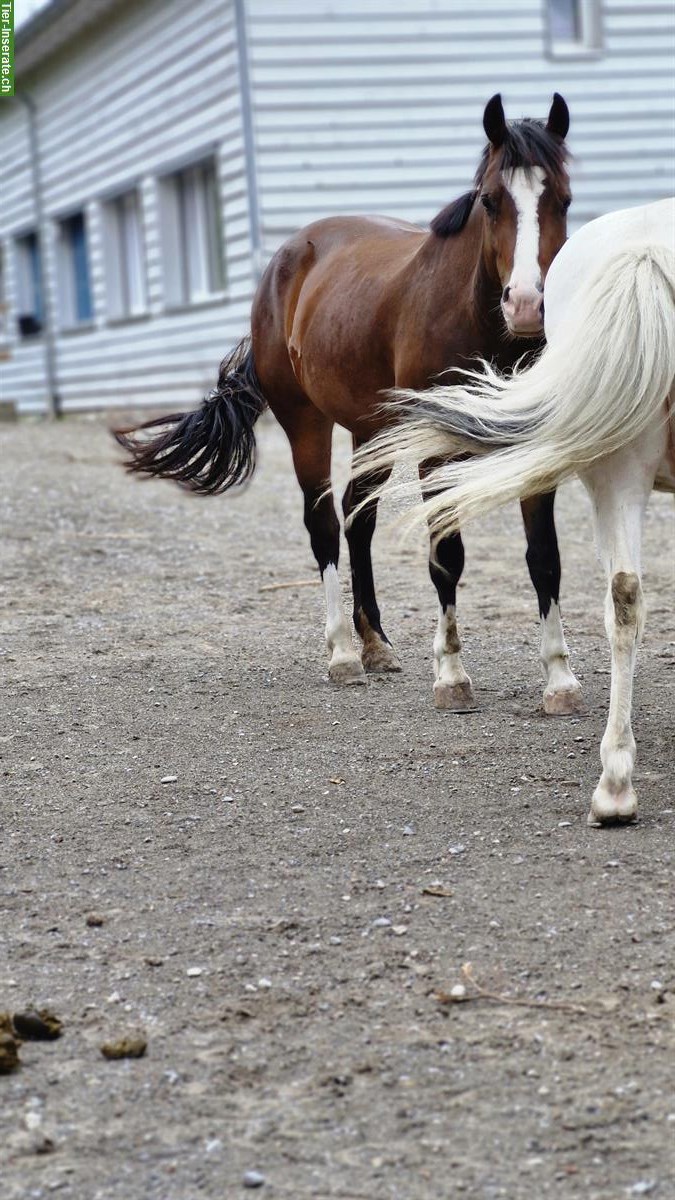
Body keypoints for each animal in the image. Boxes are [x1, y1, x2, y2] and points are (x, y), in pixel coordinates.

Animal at [112, 96, 581, 710]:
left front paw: (560, 680)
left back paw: (375, 643)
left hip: (371, 427)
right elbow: (446, 556)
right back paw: (341, 653)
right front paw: (452, 676)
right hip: (306, 423)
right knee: (324, 524)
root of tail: (288, 257)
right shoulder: (435, 452)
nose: (527, 305)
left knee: (358, 519)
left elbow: (544, 558)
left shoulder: (535, 445)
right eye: (489, 200)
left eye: (564, 199)